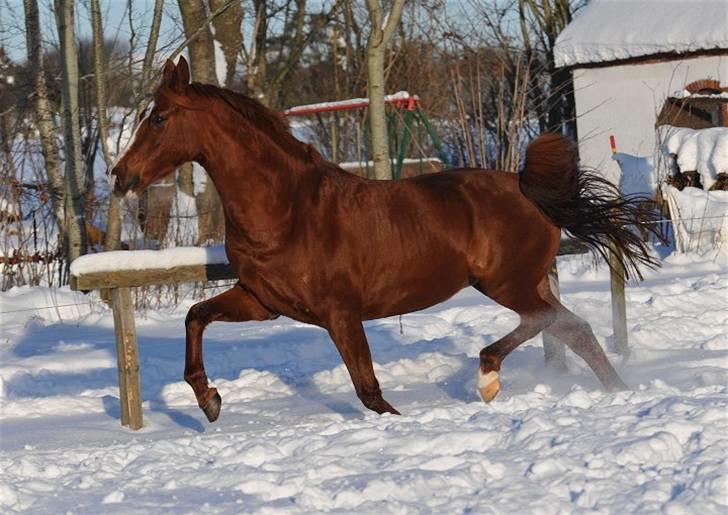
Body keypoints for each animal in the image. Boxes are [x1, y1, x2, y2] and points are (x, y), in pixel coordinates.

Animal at [109, 58, 660, 426]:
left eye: (159, 118)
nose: (120, 176)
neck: (288, 209)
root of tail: (528, 187)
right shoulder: (263, 302)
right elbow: (195, 316)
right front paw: (210, 401)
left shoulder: (340, 311)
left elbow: (369, 390)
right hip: (519, 282)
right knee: (572, 328)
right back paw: (613, 391)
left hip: (508, 282)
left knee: (552, 322)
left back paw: (490, 377)